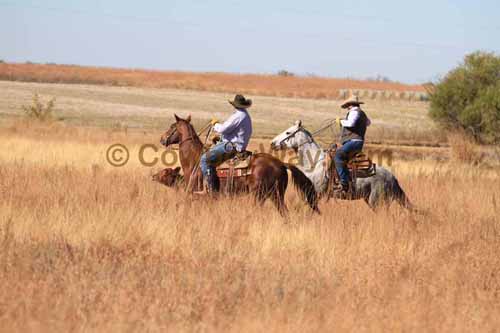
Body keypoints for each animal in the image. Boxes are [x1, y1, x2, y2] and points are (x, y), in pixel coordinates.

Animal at [158, 114, 318, 215]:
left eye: (172, 126)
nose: (162, 139)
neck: (194, 160)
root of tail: (280, 164)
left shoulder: (195, 193)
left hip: (259, 195)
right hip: (276, 195)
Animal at [272, 120, 416, 210]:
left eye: (288, 132)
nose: (273, 143)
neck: (315, 164)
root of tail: (392, 177)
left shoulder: (316, 193)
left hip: (377, 202)